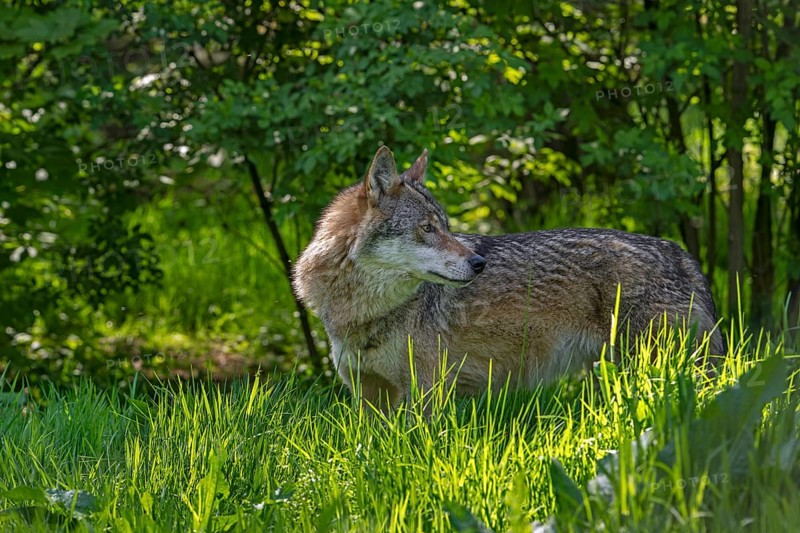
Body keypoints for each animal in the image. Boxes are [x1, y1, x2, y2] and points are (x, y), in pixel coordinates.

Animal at [293, 146, 724, 410]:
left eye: (446, 227)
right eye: (428, 229)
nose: (479, 263)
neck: (361, 313)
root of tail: (680, 253)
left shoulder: (428, 392)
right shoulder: (367, 394)